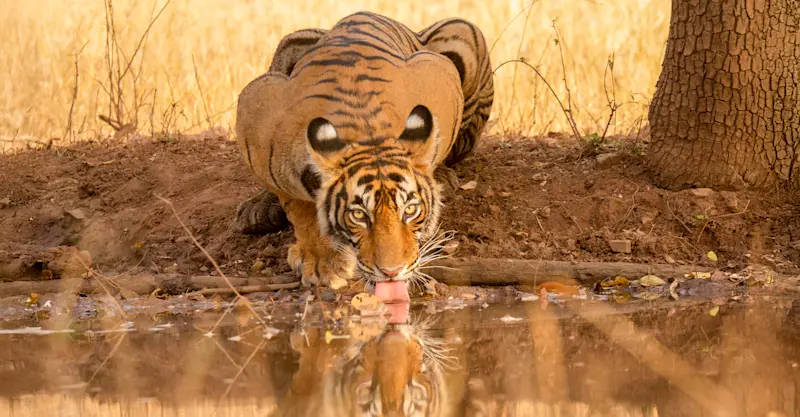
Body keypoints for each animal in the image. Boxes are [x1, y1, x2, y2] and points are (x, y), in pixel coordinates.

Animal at [234, 11, 494, 294]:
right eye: (359, 215)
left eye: (410, 211)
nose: (393, 270)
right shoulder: (256, 111)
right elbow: (299, 206)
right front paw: (323, 260)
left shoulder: (438, 71)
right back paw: (256, 210)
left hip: (463, 31)